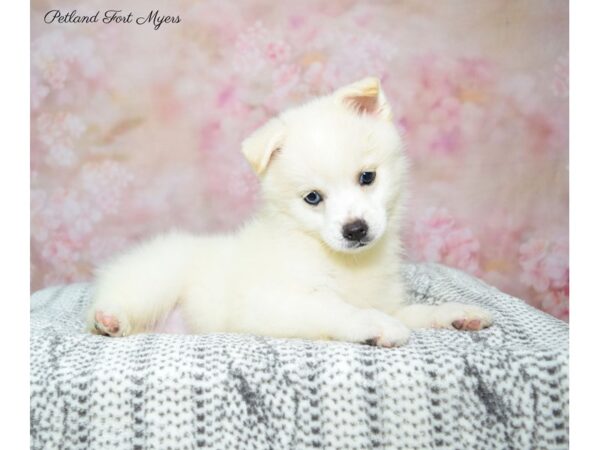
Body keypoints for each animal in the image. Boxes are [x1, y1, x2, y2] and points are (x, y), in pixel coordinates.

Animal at [89, 77, 492, 346]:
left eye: (367, 177)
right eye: (313, 198)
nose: (356, 230)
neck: (342, 261)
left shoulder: (384, 299)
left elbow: (412, 312)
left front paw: (456, 314)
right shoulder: (271, 301)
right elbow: (332, 307)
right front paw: (376, 326)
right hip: (157, 280)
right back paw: (110, 320)